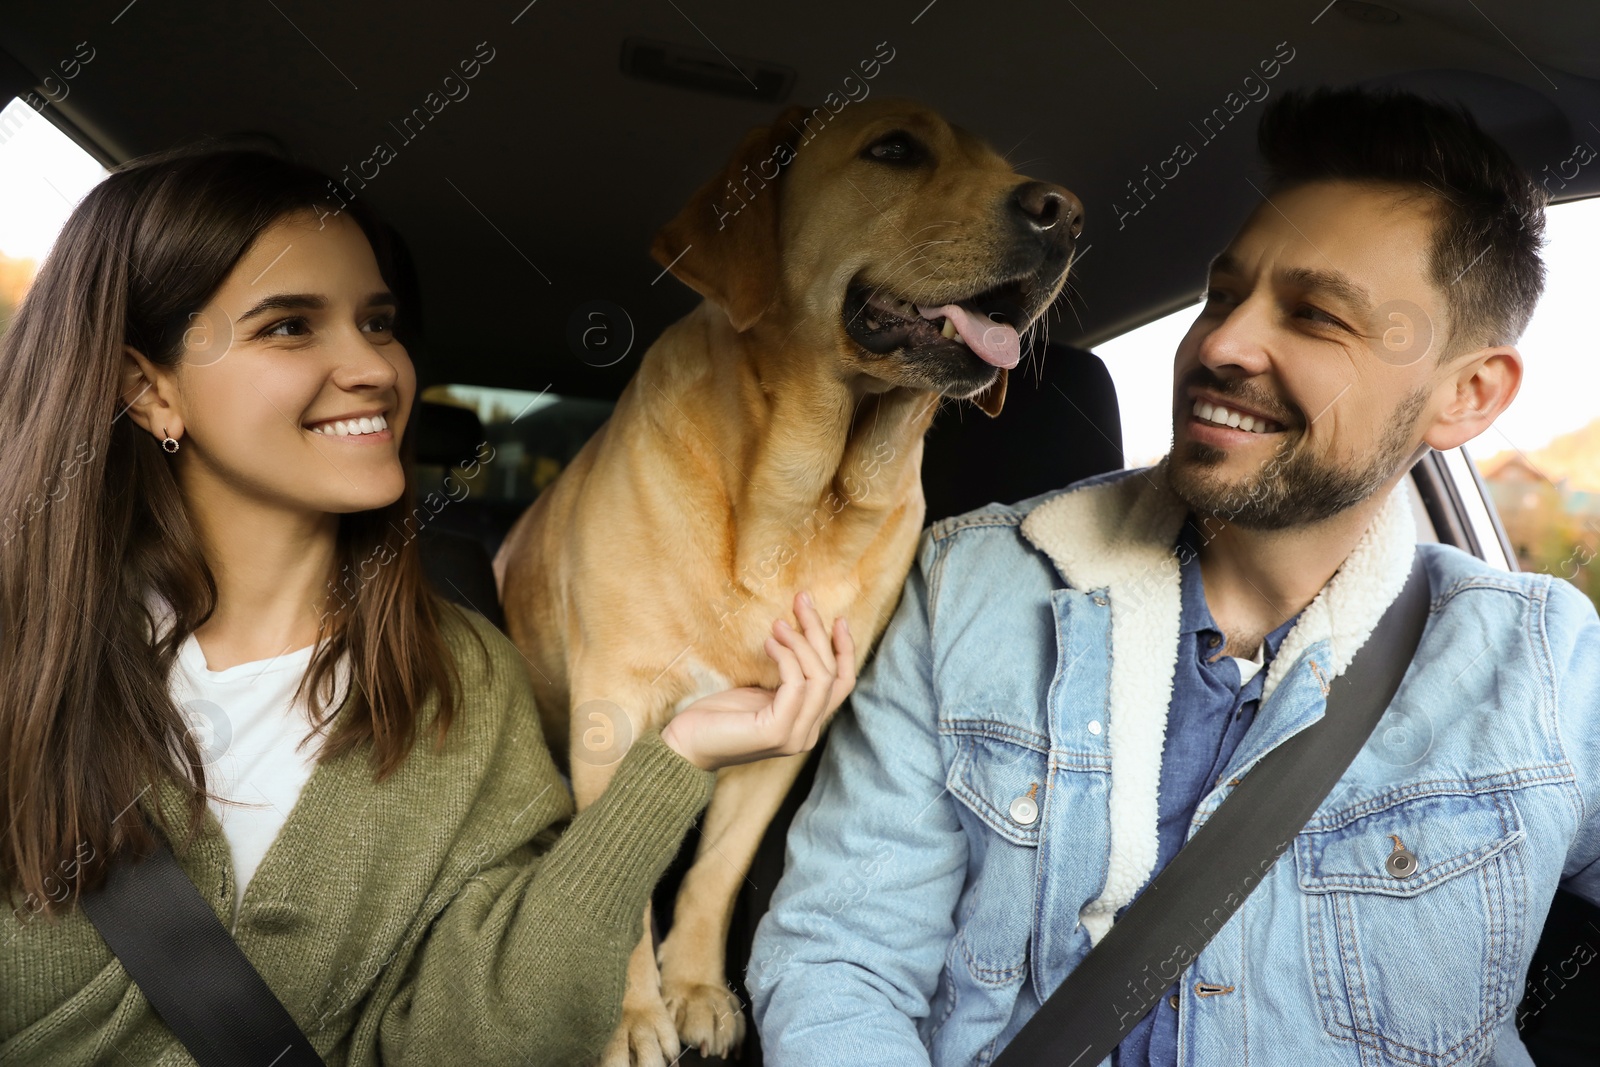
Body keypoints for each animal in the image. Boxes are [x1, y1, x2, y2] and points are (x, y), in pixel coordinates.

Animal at [492, 95, 1081, 1062]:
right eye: (894, 150)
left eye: (1001, 160)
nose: (1063, 213)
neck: (803, 498)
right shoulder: (611, 713)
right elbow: (619, 892)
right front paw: (631, 1017)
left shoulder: (785, 729)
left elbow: (718, 871)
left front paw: (694, 987)